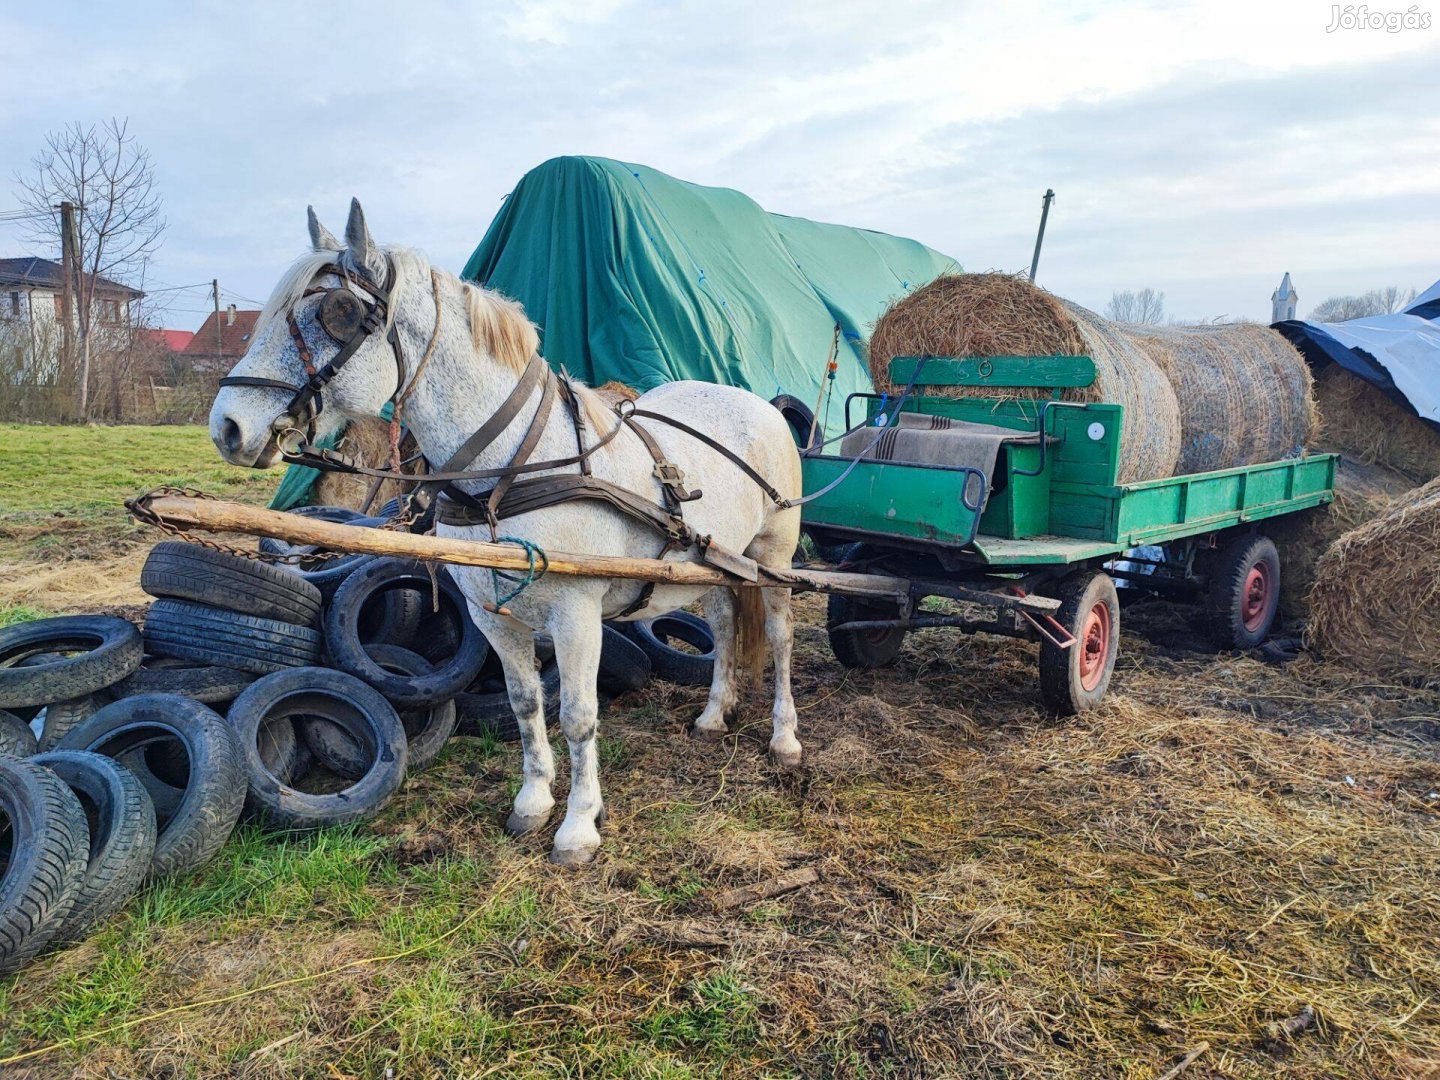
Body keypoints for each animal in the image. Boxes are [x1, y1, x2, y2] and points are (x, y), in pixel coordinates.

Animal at [210, 198, 806, 869]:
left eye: (333, 314)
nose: (227, 426)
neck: (514, 469)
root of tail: (759, 404)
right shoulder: (493, 614)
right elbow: (526, 705)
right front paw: (533, 803)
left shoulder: (576, 614)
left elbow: (578, 715)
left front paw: (578, 827)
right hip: (711, 565)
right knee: (728, 626)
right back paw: (712, 714)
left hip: (774, 555)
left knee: (780, 638)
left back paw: (784, 737)